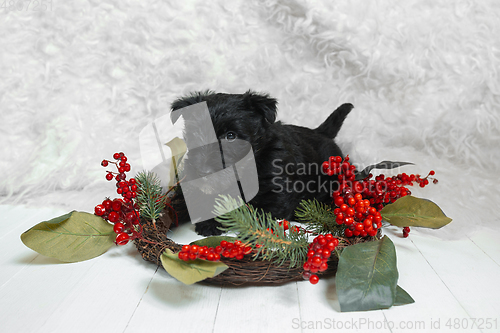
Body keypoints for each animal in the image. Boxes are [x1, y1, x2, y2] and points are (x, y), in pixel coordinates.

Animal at [172, 89, 352, 235]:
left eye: (231, 136)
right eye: (195, 135)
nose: (202, 171)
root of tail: (321, 132)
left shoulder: (276, 190)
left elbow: (263, 212)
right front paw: (209, 222)